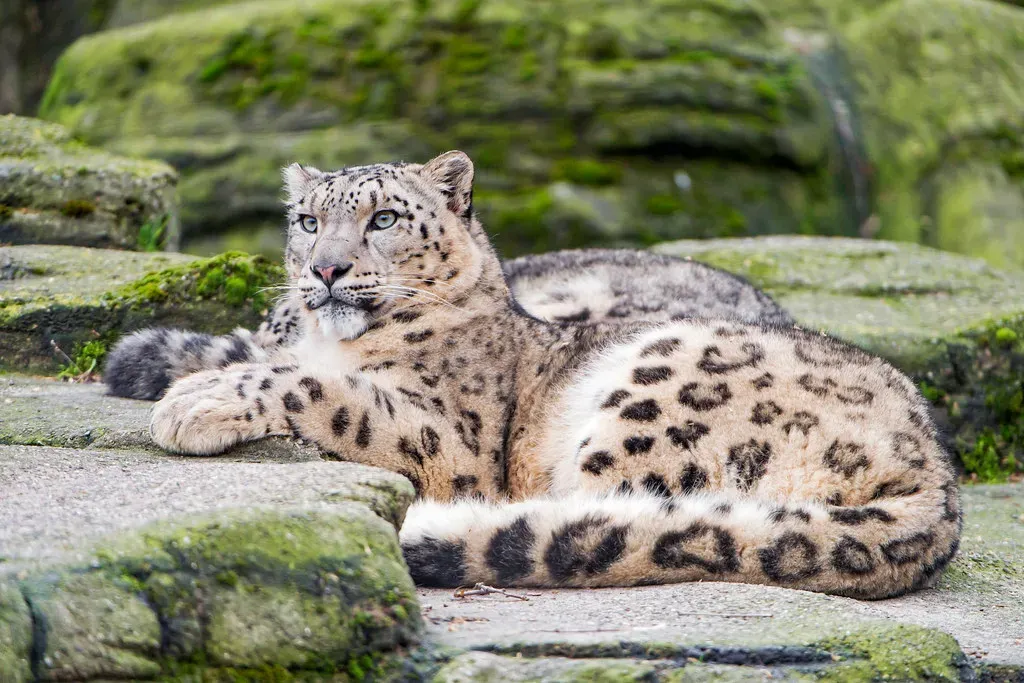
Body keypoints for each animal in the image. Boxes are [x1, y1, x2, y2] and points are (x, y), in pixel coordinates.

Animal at [143, 151, 960, 599]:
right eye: (308, 221)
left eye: (385, 219)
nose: (326, 269)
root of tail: (939, 476)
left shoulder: (450, 440)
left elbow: (328, 391)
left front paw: (194, 401)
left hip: (653, 395)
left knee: (598, 514)